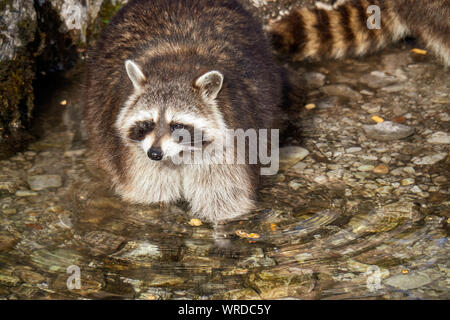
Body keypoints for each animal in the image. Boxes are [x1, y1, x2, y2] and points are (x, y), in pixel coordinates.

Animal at [84, 0, 282, 222]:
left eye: (177, 125)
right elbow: (150, 193)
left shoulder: (229, 143)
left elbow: (223, 197)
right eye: (148, 123)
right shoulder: (135, 154)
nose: (154, 154)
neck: (175, 68)